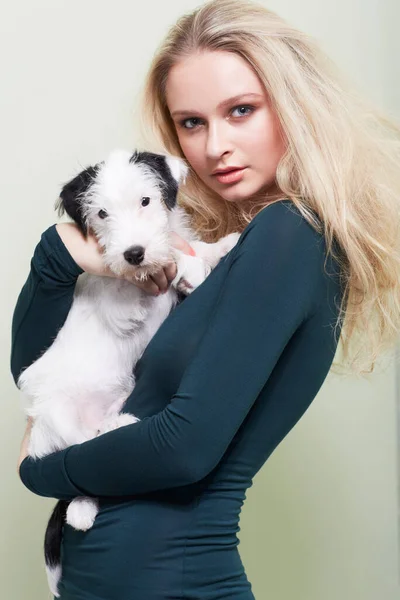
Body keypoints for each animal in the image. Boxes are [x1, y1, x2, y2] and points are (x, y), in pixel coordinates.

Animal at [17, 148, 239, 596]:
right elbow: (160, 264)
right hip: (57, 416)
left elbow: (191, 247)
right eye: (102, 213)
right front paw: (186, 266)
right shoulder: (120, 295)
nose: (134, 252)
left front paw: (220, 247)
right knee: (80, 452)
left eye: (146, 201)